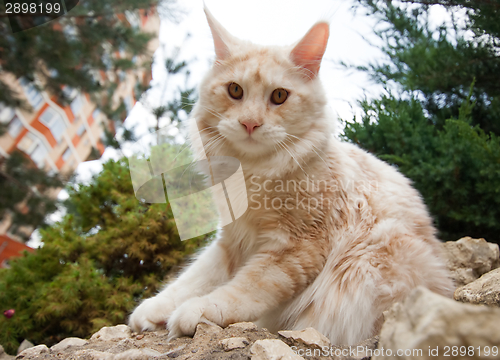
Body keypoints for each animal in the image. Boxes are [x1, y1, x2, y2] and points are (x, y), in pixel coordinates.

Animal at [128, 8, 454, 344]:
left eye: (280, 96)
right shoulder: (232, 240)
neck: (251, 171)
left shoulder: (296, 247)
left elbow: (242, 290)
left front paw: (198, 310)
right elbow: (193, 279)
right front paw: (153, 309)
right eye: (235, 90)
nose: (250, 123)